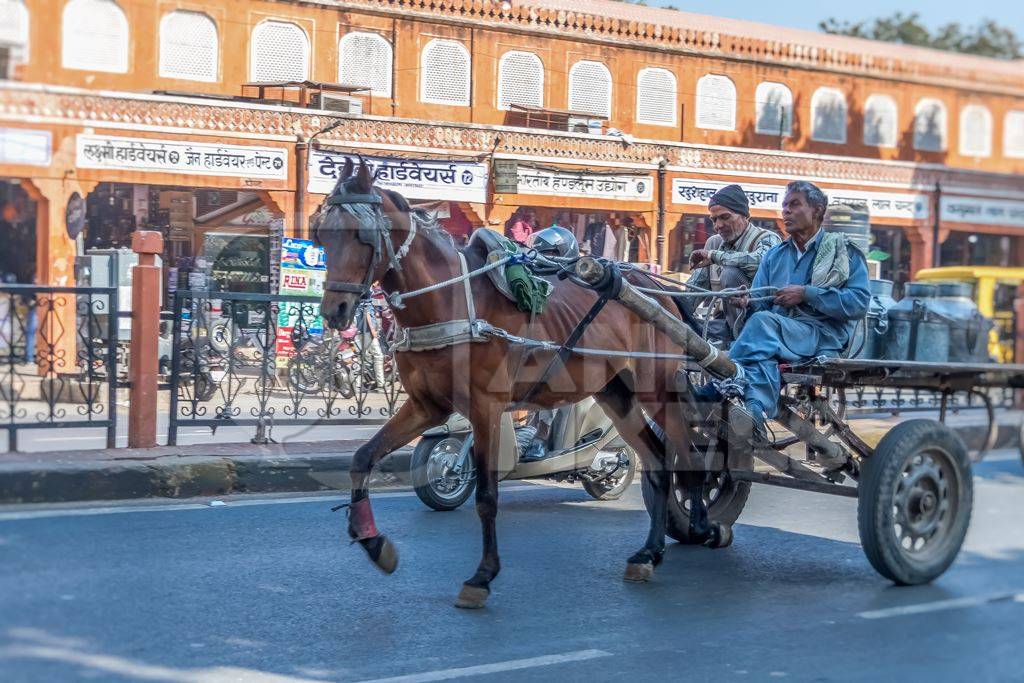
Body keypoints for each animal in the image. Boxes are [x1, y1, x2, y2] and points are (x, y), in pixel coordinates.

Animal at [315, 158, 724, 610]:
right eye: (321, 234)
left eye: (361, 235)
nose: (335, 310)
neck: (450, 301)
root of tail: (659, 290)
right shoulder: (427, 406)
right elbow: (362, 459)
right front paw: (372, 542)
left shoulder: (485, 408)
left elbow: (487, 496)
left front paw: (482, 575)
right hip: (616, 391)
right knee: (656, 461)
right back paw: (649, 553)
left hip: (657, 387)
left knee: (686, 455)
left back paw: (701, 522)